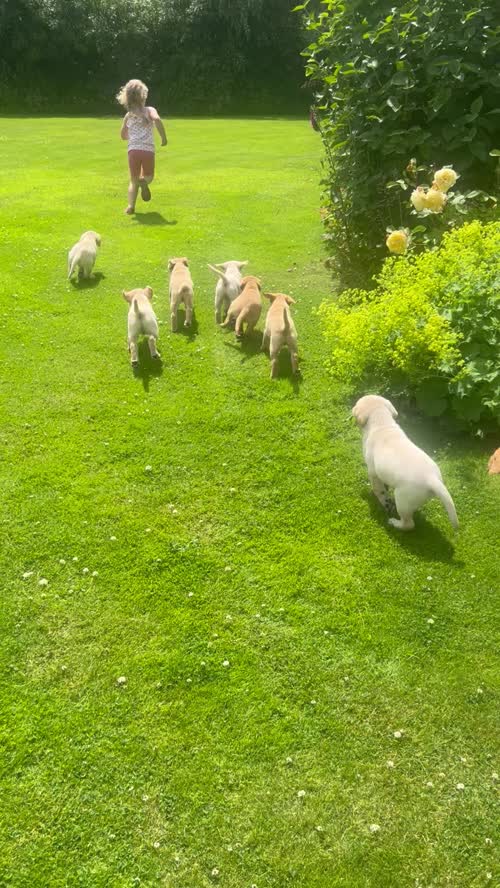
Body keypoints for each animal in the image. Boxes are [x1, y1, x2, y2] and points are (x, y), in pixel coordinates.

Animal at [352, 394, 458, 532]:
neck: (382, 422)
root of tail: (432, 479)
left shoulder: (373, 472)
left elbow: (379, 490)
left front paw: (381, 500)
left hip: (402, 501)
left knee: (409, 524)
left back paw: (395, 523)